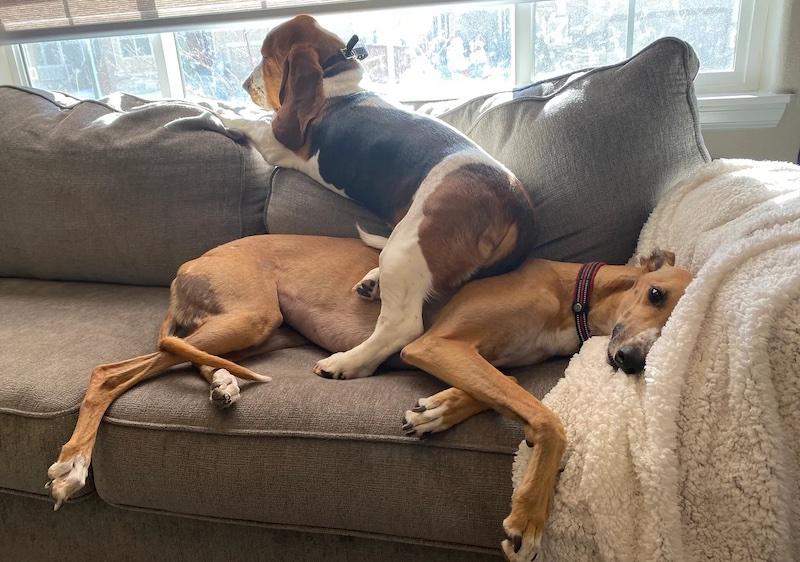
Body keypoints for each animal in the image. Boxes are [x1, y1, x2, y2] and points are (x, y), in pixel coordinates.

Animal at [48, 231, 692, 556]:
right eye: (656, 294)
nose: (632, 361)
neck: (572, 295)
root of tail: (188, 264)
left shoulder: (473, 357)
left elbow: (508, 396)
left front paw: (435, 411)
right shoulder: (435, 344)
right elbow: (547, 420)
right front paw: (528, 520)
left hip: (260, 329)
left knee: (188, 357)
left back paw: (226, 385)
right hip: (250, 316)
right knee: (110, 372)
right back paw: (73, 465)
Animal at [216, 14, 536, 380]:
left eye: (267, 58)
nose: (244, 85)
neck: (335, 74)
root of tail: (516, 202)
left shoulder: (275, 143)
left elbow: (253, 121)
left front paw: (222, 111)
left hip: (407, 245)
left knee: (402, 326)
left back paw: (345, 362)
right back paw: (373, 283)